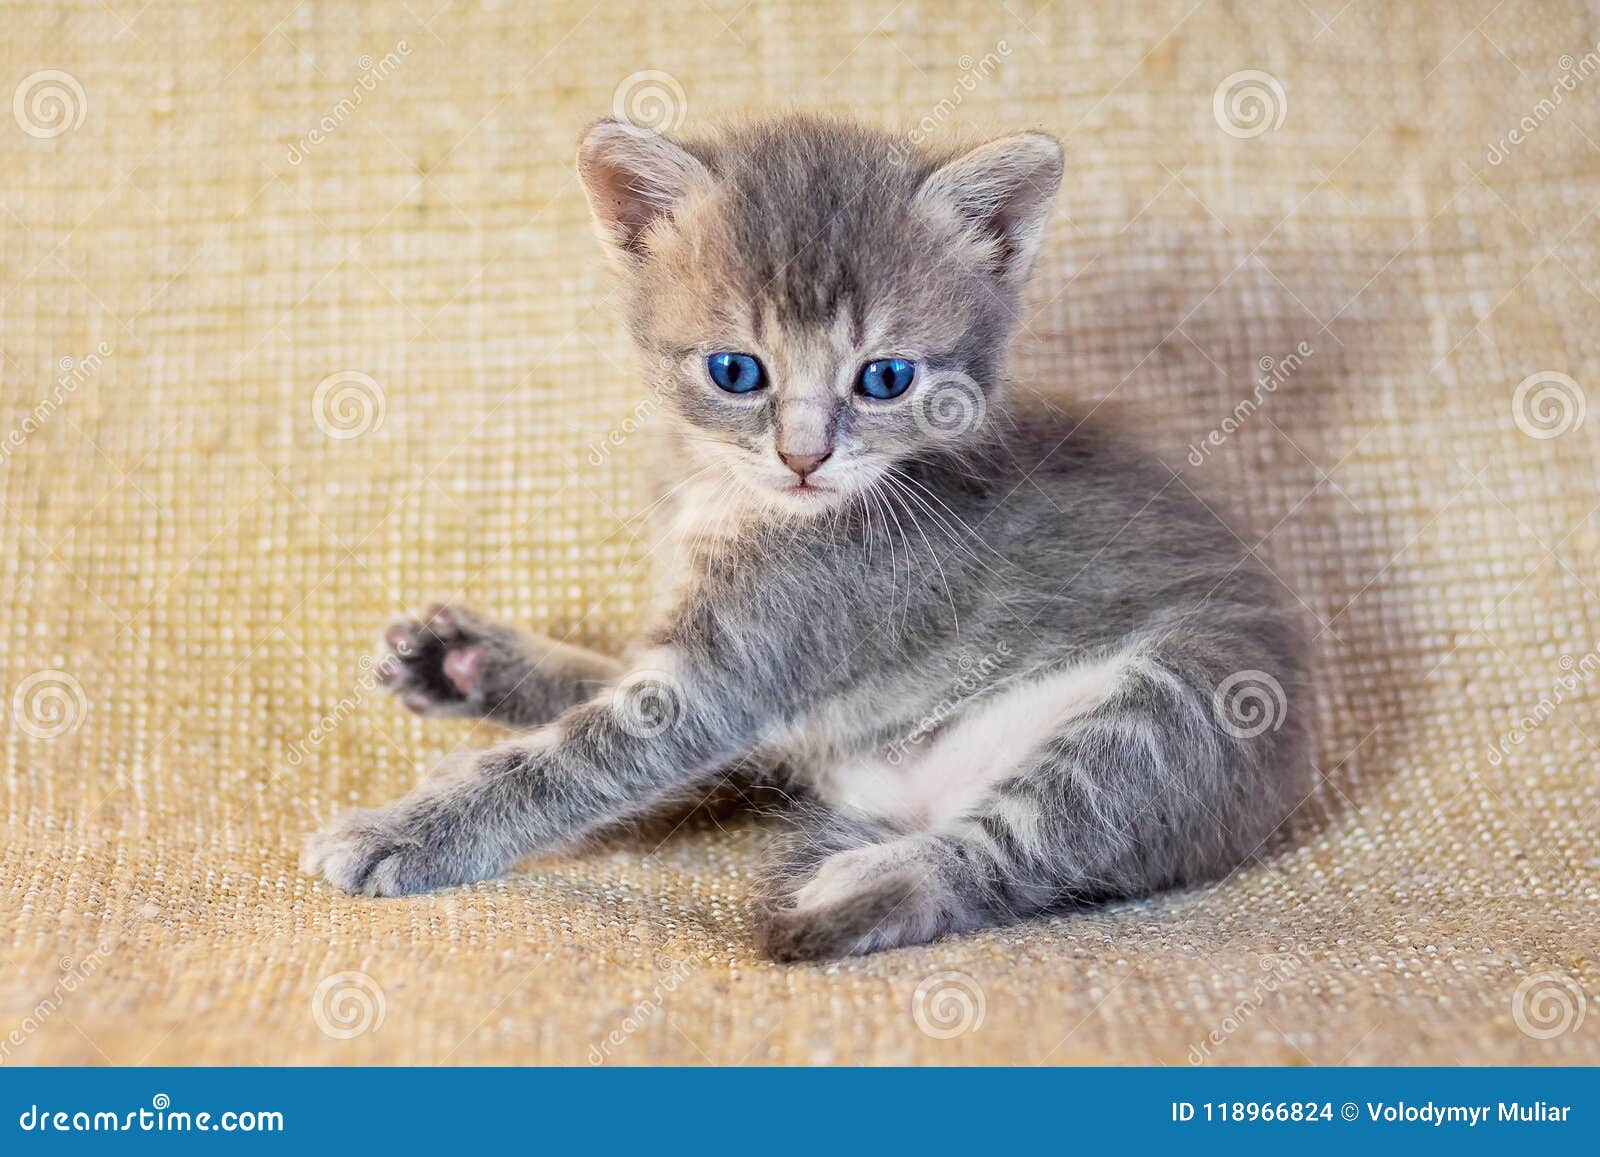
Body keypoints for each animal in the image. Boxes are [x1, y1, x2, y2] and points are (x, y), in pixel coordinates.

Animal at [305, 112, 1305, 966]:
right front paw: (466, 665)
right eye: (735, 370)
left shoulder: (734, 670)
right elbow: (609, 686)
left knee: (1005, 856)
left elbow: (575, 756)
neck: (728, 497)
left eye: (887, 377)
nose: (803, 456)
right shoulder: (722, 664)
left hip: (1181, 703)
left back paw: (865, 881)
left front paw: (407, 829)